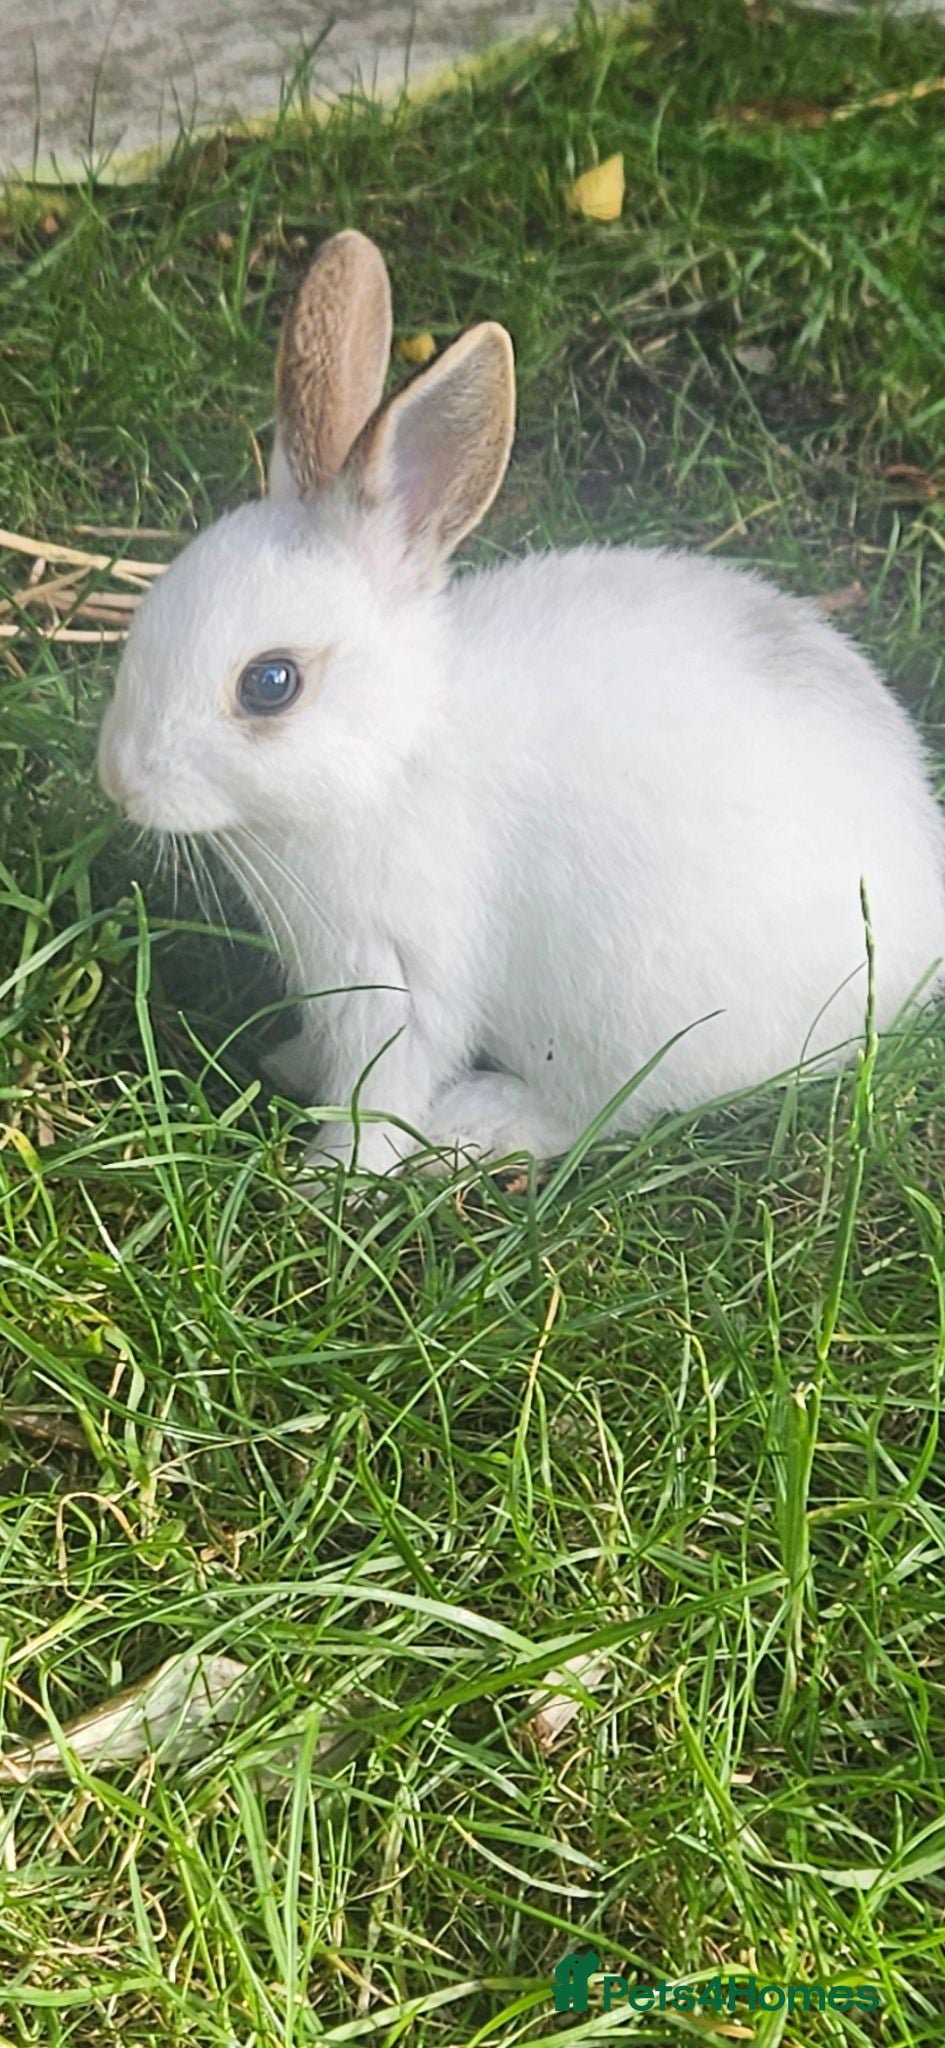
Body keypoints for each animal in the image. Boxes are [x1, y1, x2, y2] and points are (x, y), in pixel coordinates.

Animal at [97, 228, 945, 1184]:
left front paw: (331, 1176)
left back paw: (477, 1126)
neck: (396, 751)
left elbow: (381, 1084)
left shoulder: (400, 974)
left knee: (596, 1111)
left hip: (629, 1018)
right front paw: (288, 1065)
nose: (119, 779)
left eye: (269, 684)